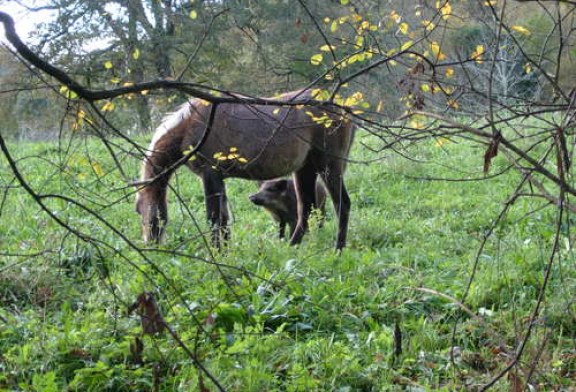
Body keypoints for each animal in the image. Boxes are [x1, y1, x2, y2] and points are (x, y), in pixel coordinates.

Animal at [134, 89, 356, 250]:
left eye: (139, 210)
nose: (149, 244)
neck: (191, 124)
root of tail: (343, 110)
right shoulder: (218, 178)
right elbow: (223, 219)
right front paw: (225, 252)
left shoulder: (209, 175)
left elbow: (214, 218)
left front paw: (217, 253)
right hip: (305, 170)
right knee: (306, 210)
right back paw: (291, 248)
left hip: (329, 166)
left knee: (342, 204)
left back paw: (338, 249)